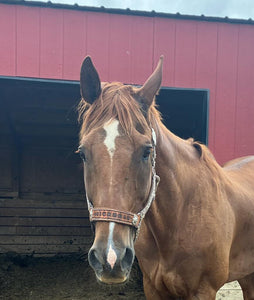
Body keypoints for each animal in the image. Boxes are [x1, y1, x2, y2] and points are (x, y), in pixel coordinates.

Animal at [77, 55, 254, 298]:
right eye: (83, 153)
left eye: (146, 151)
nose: (110, 259)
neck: (181, 215)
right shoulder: (152, 288)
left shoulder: (203, 290)